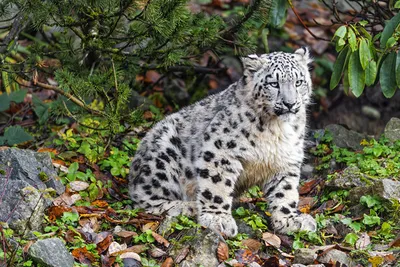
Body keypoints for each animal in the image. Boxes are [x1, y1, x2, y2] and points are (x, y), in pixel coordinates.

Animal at [130, 47, 318, 238]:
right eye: (273, 83)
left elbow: (285, 191)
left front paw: (290, 220)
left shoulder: (286, 160)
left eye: (299, 82)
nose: (290, 103)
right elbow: (217, 185)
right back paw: (188, 206)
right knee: (143, 197)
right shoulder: (221, 150)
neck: (277, 130)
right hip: (163, 156)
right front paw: (218, 219)